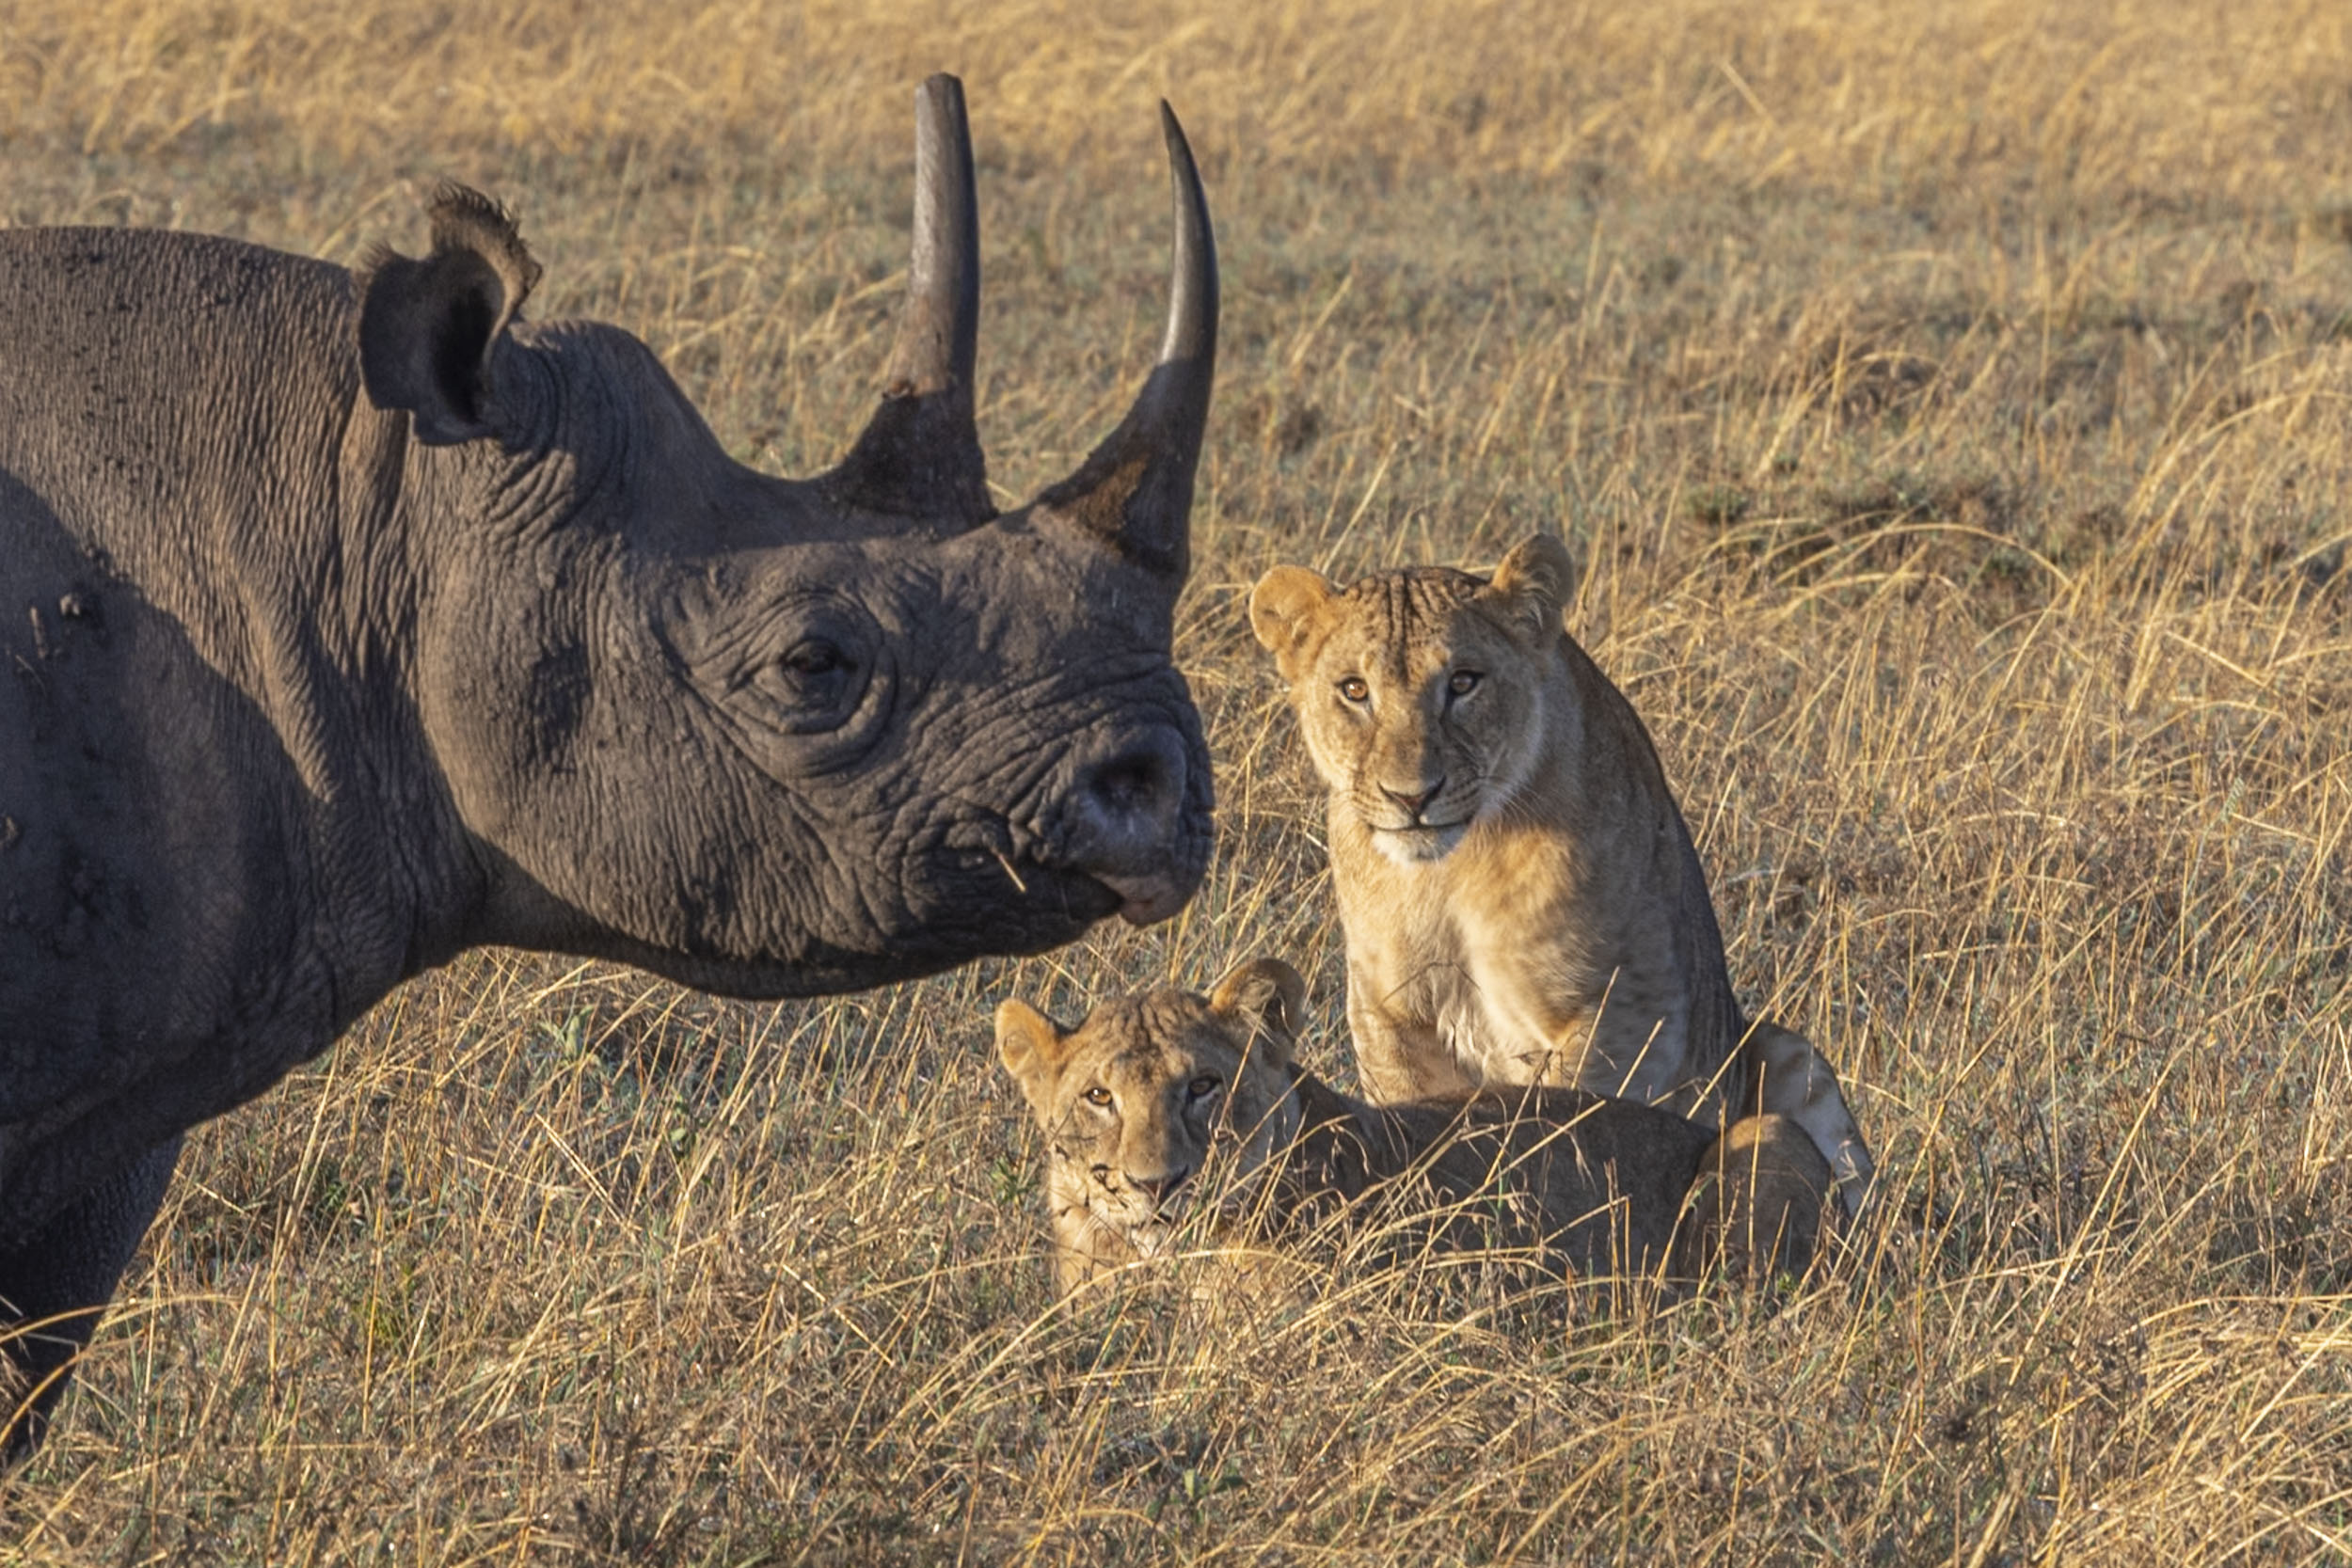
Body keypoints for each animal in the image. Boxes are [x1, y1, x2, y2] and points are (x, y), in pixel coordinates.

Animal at [1248, 534, 1873, 1213]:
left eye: (1463, 682)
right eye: (1354, 689)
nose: (1412, 795)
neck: (1449, 873)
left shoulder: (1612, 1013)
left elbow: (1570, 1125)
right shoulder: (1392, 1013)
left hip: (1795, 1057)